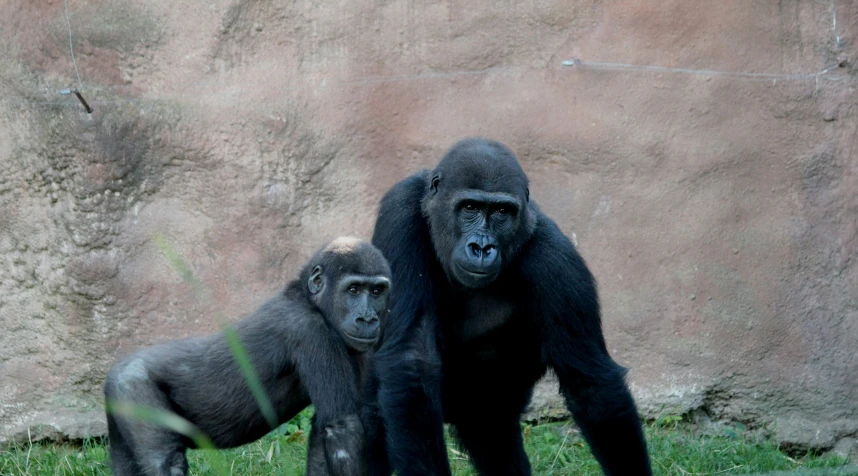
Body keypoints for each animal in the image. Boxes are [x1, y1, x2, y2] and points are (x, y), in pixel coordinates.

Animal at [103, 238, 392, 476]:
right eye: (353, 290)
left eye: (376, 292)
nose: (368, 319)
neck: (306, 297)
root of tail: (114, 373)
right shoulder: (310, 331)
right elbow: (342, 427)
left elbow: (326, 432)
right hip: (133, 387)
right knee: (165, 462)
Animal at [364, 139, 652, 476]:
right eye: (470, 208)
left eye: (502, 211)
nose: (482, 247)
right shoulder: (402, 211)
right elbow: (411, 361)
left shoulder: (558, 261)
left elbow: (590, 384)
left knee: (493, 433)